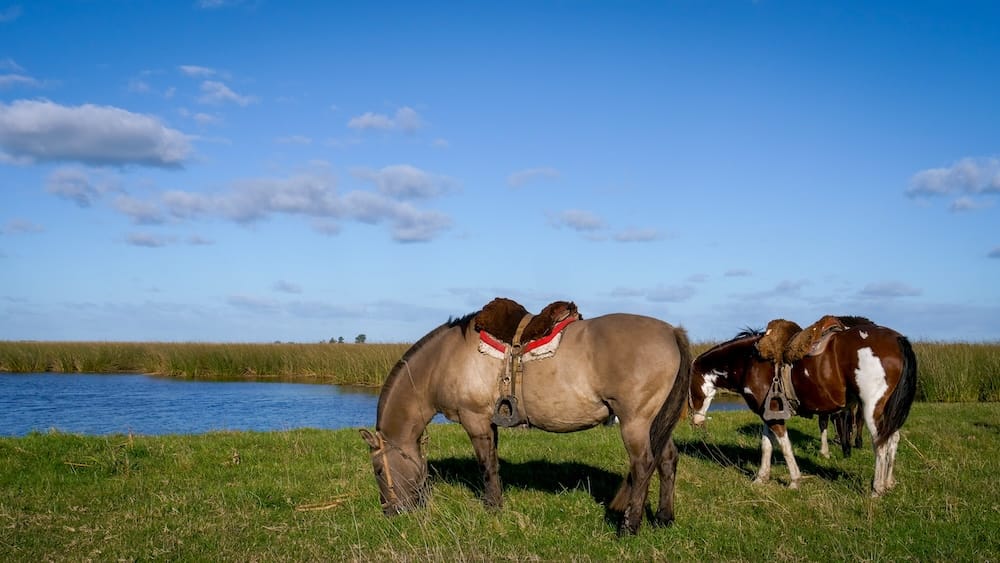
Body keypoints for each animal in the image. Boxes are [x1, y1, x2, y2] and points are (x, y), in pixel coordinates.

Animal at [359, 311, 692, 534]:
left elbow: (486, 466)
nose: (388, 511)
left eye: (378, 470)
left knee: (643, 465)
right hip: (655, 422)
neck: (444, 360)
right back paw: (664, 518)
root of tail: (671, 331)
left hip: (635, 422)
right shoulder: (489, 423)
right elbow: (494, 463)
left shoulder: (475, 419)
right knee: (667, 460)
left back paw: (629, 526)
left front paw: (492, 508)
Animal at [688, 322, 917, 496]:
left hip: (872, 410)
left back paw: (877, 490)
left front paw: (795, 481)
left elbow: (785, 446)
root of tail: (897, 339)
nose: (695, 421)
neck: (749, 361)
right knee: (893, 439)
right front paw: (761, 478)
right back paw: (888, 483)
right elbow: (767, 446)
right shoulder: (767, 415)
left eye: (688, 384)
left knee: (881, 444)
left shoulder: (775, 418)